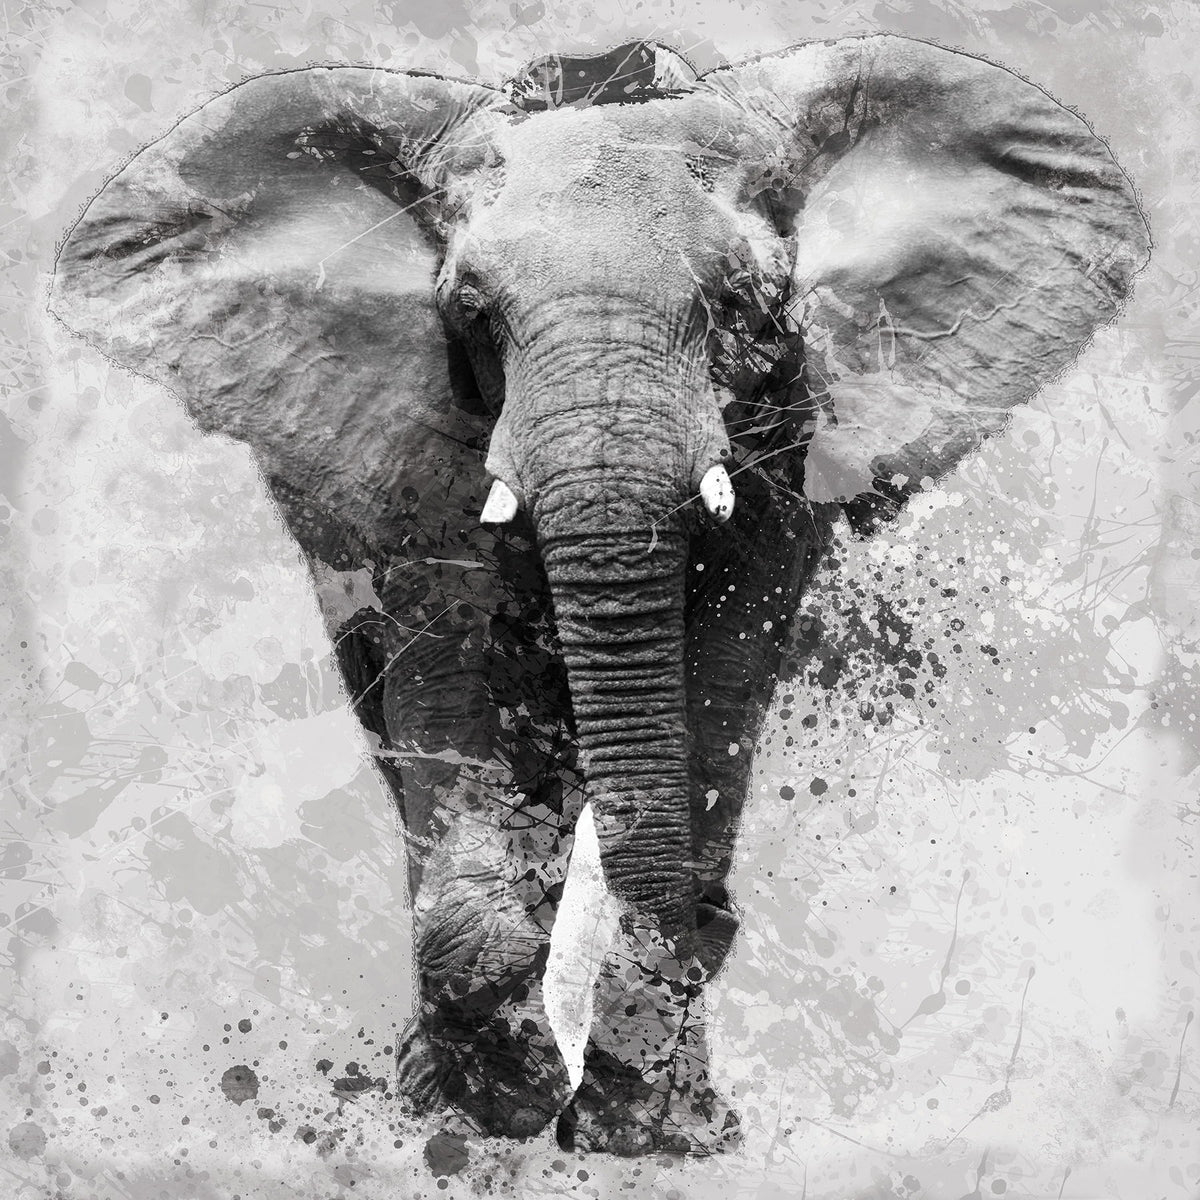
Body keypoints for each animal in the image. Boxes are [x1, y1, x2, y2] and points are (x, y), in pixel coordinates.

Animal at [49, 36, 1148, 1155]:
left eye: (744, 306)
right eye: (472, 313)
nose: (714, 923)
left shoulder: (793, 424)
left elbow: (721, 673)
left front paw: (649, 1128)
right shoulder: (418, 432)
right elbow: (447, 671)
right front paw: (485, 1104)